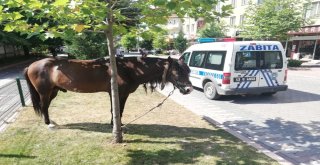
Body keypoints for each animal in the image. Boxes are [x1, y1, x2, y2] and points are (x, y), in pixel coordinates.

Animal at [24, 56, 192, 127]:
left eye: (188, 71)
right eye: (177, 71)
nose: (189, 89)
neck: (128, 69)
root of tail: (31, 65)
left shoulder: (121, 94)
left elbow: (119, 110)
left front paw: (117, 123)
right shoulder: (117, 93)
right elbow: (115, 110)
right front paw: (115, 125)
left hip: (53, 91)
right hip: (44, 92)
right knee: (44, 106)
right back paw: (48, 124)